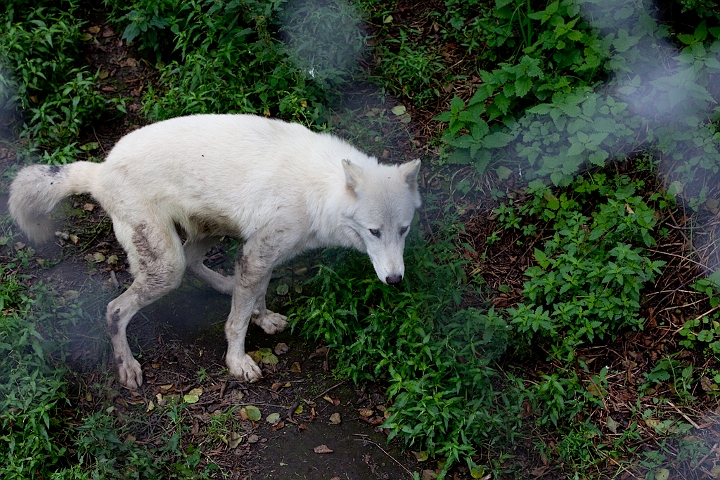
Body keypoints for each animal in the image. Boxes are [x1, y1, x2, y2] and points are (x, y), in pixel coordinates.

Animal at [8, 114, 421, 389]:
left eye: (403, 229)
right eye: (374, 231)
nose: (395, 279)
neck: (318, 189)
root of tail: (100, 170)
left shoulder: (262, 253)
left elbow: (256, 296)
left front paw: (263, 318)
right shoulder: (258, 253)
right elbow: (235, 323)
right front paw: (237, 362)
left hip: (206, 235)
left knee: (197, 262)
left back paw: (225, 284)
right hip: (165, 268)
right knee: (114, 310)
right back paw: (127, 367)